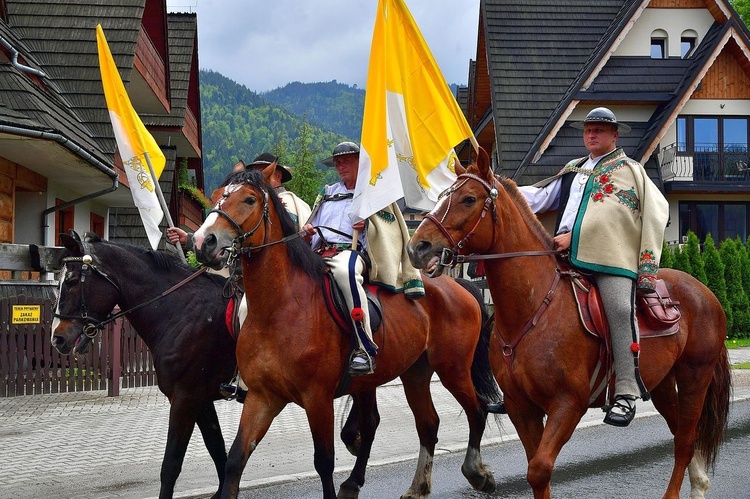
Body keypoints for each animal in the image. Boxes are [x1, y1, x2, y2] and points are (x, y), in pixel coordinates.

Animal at [51, 231, 238, 499]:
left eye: (74, 281)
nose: (57, 338)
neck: (181, 312)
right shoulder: (200, 400)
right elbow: (217, 448)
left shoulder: (185, 399)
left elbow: (171, 465)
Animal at [191, 169, 502, 499]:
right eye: (217, 195)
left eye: (249, 199)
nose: (202, 242)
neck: (279, 309)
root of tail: (457, 285)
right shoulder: (263, 397)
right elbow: (236, 459)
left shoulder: (318, 398)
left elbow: (324, 462)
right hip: (415, 373)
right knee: (426, 424)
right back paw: (414, 485)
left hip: (452, 369)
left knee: (477, 409)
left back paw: (477, 473)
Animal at [408, 149, 732, 499]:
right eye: (442, 196)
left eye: (468, 199)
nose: (417, 247)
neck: (534, 307)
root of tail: (705, 293)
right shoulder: (522, 408)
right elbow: (536, 471)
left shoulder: (567, 405)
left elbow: (539, 469)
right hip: (661, 383)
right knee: (681, 435)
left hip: (694, 377)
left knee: (685, 440)